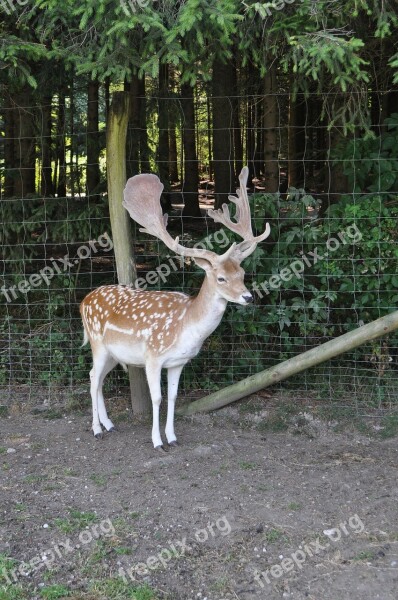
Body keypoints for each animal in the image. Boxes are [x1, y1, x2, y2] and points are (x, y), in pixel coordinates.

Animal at [79, 164, 268, 450]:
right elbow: (157, 398)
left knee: (98, 379)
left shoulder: (178, 362)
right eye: (221, 278)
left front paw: (173, 437)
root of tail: (83, 301)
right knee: (91, 377)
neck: (185, 324)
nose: (248, 297)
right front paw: (157, 441)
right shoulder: (153, 356)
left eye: (242, 273)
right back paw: (96, 429)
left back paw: (109, 424)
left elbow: (174, 397)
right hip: (97, 343)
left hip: (113, 353)